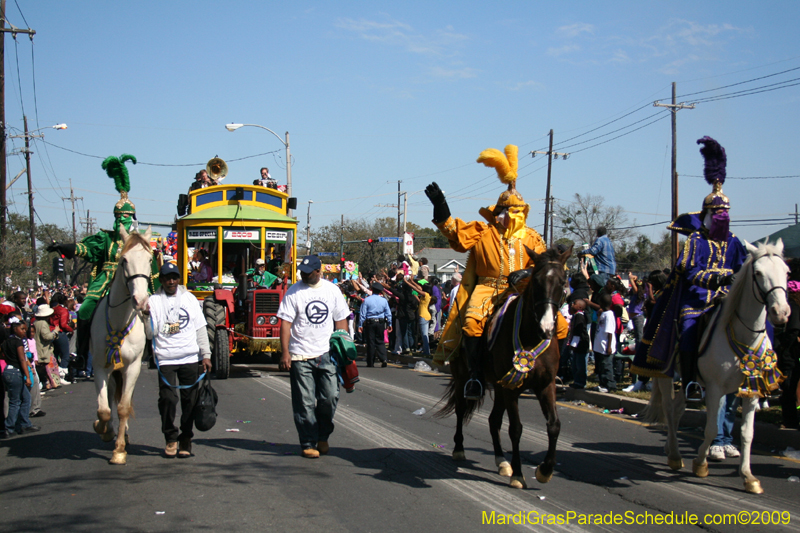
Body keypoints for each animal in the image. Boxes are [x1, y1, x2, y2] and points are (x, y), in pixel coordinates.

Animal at [91, 227, 153, 464]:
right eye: (124, 260)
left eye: (150, 259)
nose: (141, 301)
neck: (118, 321)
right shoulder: (100, 366)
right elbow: (104, 410)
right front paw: (104, 430)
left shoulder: (133, 367)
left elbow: (124, 407)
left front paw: (119, 450)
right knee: (109, 398)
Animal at [438, 245, 568, 486]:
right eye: (536, 281)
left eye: (563, 282)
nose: (546, 327)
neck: (530, 336)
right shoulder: (511, 388)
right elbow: (516, 429)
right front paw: (518, 474)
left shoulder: (545, 385)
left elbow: (554, 425)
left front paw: (545, 470)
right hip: (463, 377)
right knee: (461, 409)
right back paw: (460, 449)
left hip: (498, 386)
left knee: (493, 420)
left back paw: (501, 460)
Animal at [640, 239, 792, 492]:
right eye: (758, 273)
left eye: (787, 272)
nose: (781, 313)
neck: (742, 333)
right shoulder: (714, 389)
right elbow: (711, 428)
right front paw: (701, 463)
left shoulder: (751, 391)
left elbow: (747, 433)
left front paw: (749, 477)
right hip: (665, 375)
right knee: (670, 410)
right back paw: (675, 455)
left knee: (678, 409)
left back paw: (671, 449)